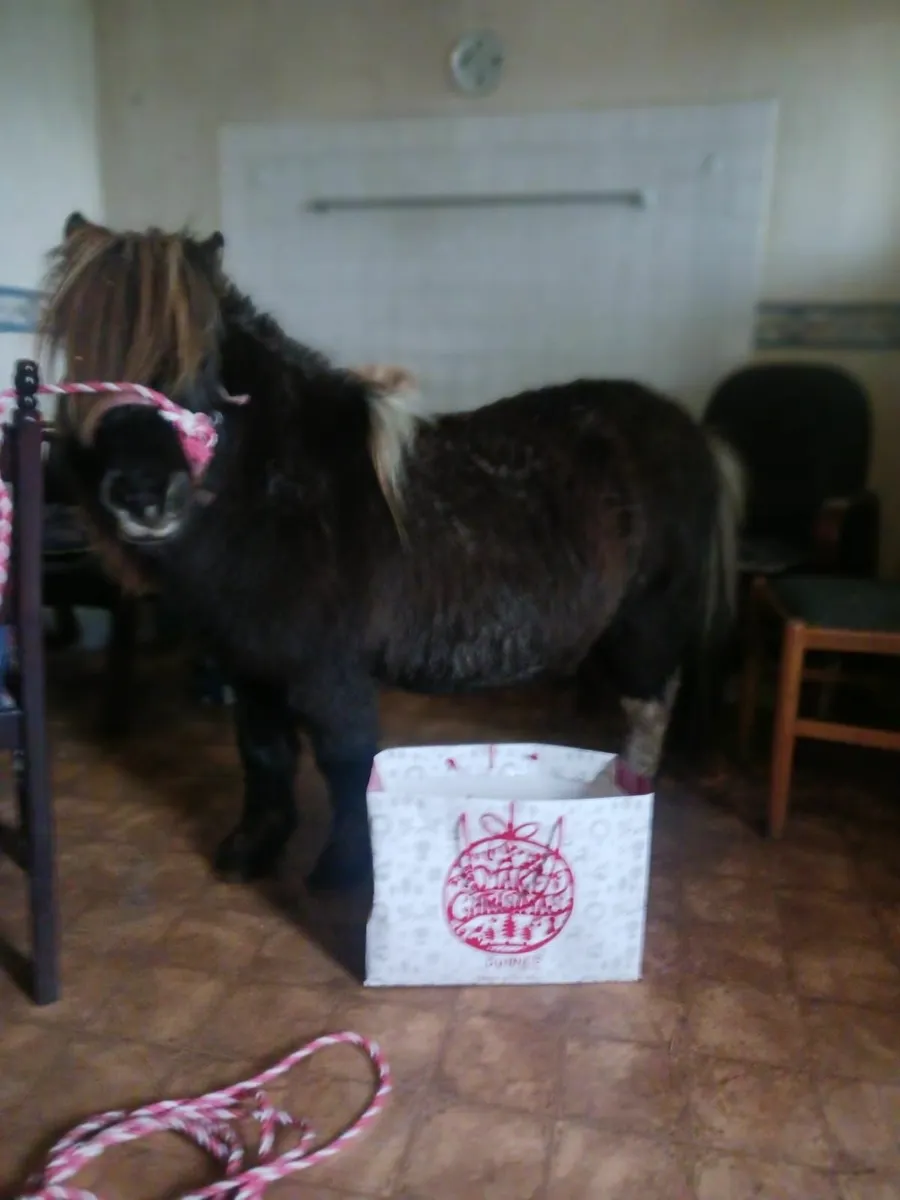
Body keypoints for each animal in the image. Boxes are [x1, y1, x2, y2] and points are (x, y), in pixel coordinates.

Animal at [39, 212, 743, 895]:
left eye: (201, 355)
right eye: (81, 355)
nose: (141, 495)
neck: (286, 496)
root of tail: (691, 431)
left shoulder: (329, 676)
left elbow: (349, 769)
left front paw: (346, 871)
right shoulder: (252, 666)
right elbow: (264, 754)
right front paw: (252, 851)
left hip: (647, 626)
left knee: (648, 712)